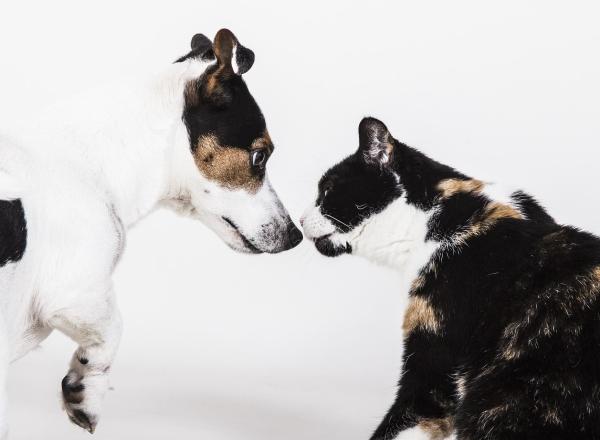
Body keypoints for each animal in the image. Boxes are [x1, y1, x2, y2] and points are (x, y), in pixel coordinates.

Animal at [0, 28, 302, 436]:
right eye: (260, 156)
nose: (295, 235)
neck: (96, 159)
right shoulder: (75, 291)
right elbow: (113, 329)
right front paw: (86, 391)